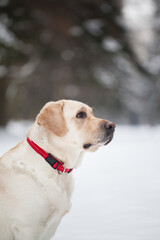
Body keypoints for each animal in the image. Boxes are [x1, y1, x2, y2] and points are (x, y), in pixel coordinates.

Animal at [0, 100, 115, 240]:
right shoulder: (28, 228)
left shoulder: (50, 227)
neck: (50, 161)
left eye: (92, 113)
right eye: (81, 114)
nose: (112, 126)